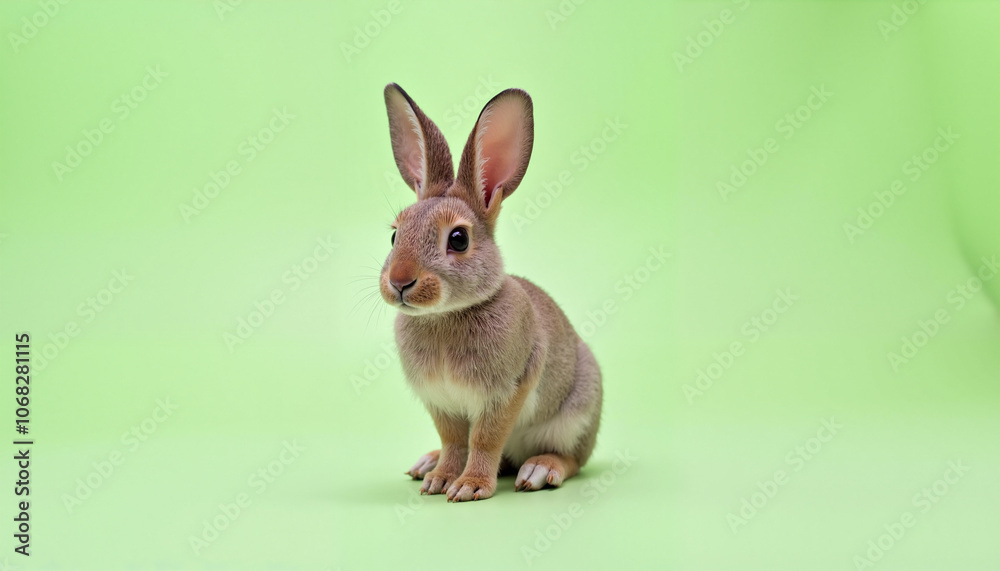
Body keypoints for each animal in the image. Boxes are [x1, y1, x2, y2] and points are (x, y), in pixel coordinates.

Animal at [379, 83, 602, 502]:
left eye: (458, 239)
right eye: (395, 235)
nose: (400, 282)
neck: (447, 315)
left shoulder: (508, 390)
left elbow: (484, 439)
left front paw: (469, 487)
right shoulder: (442, 403)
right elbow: (453, 441)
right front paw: (440, 480)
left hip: (576, 414)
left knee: (572, 460)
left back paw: (538, 470)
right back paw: (427, 464)